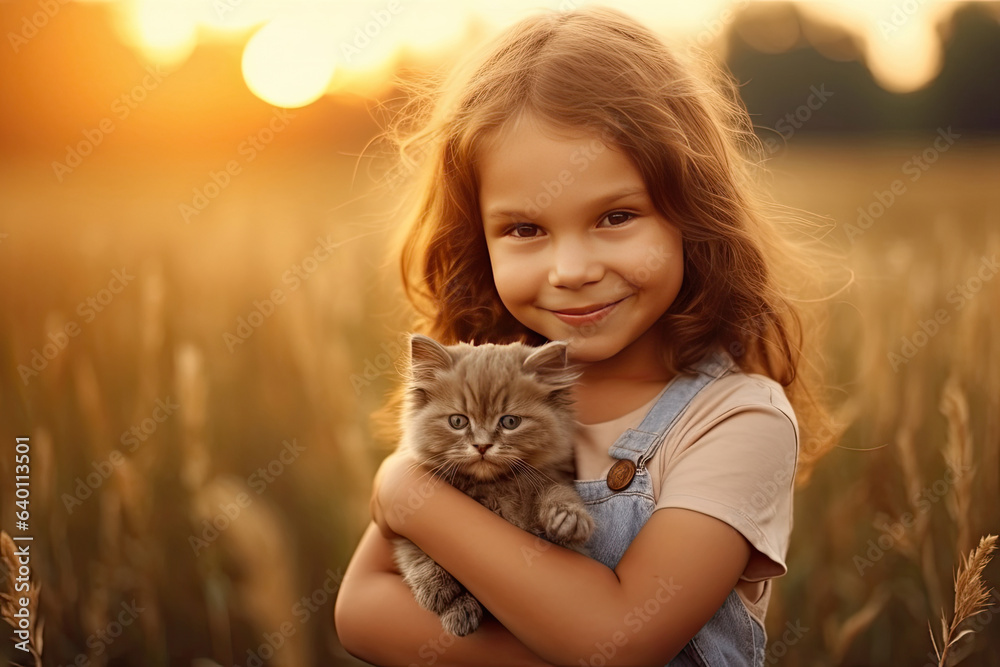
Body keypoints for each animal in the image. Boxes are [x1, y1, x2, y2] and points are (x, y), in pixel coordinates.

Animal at [390, 334, 592, 636]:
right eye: (458, 421)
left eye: (510, 422)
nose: (482, 446)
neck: (492, 488)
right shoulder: (403, 526)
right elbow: (416, 552)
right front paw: (447, 599)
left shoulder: (553, 476)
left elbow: (556, 491)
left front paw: (568, 517)